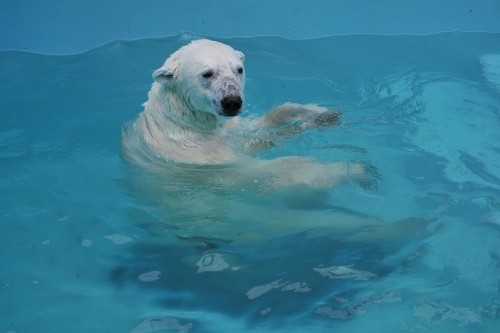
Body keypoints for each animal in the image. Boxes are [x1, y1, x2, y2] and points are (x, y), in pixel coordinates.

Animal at [123, 39, 370, 189]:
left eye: (239, 69)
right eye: (207, 74)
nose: (232, 102)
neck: (188, 121)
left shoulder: (230, 129)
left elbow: (255, 134)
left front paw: (322, 116)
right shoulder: (197, 157)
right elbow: (264, 170)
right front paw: (353, 169)